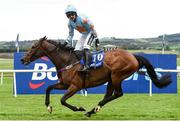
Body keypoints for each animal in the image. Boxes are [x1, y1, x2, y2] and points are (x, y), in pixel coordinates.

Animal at [20, 36, 172, 116]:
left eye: (33, 47)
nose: (22, 59)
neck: (68, 61)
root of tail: (133, 56)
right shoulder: (64, 84)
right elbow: (48, 88)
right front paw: (48, 107)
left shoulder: (75, 86)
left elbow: (63, 100)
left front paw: (79, 108)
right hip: (111, 79)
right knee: (109, 94)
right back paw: (93, 110)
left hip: (117, 76)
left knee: (118, 93)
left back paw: (93, 109)